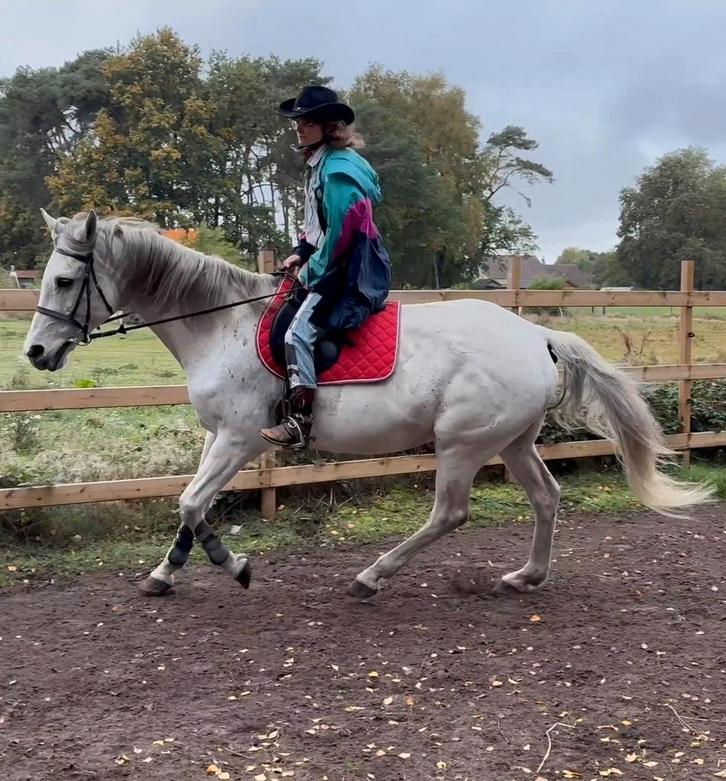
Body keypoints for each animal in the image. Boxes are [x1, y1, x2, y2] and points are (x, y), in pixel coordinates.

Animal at [23, 210, 712, 599]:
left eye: (64, 280)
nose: (35, 352)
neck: (220, 323)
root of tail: (534, 334)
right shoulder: (216, 436)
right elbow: (189, 506)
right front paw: (165, 575)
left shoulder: (240, 439)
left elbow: (192, 503)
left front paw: (235, 565)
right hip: (511, 440)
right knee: (546, 497)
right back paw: (526, 577)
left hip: (462, 442)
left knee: (450, 513)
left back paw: (372, 576)